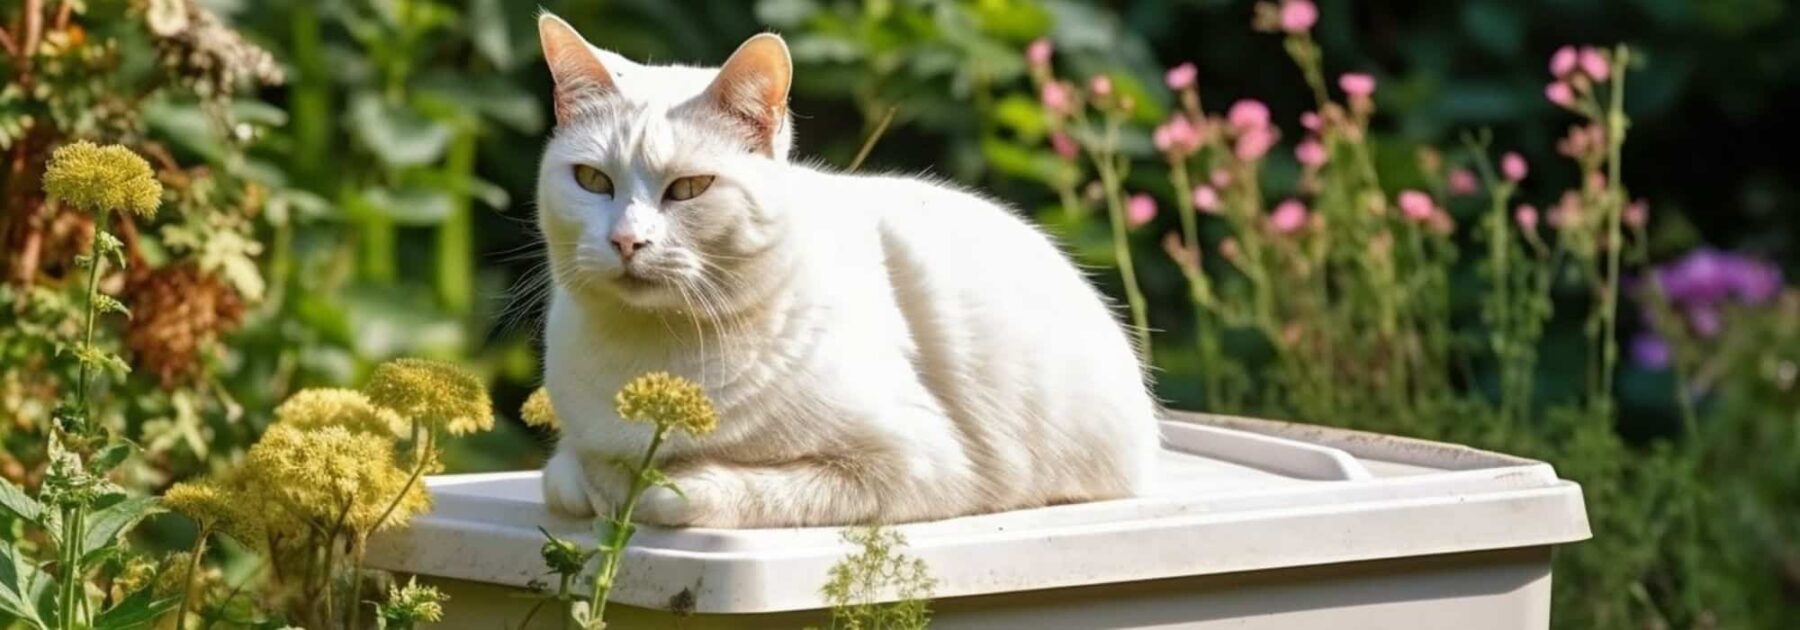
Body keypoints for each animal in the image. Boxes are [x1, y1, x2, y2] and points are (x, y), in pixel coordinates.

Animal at [532, 12, 1159, 529]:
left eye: (689, 188)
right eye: (592, 180)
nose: (626, 240)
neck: (650, 352)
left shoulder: (921, 464)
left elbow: (697, 492)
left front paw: (648, 486)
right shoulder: (569, 462)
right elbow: (566, 477)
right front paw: (604, 482)